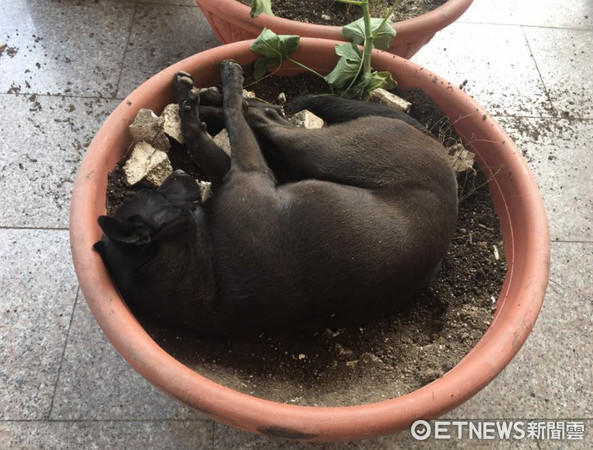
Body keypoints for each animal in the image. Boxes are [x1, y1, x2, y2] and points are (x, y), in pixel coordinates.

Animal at [93, 60, 458, 334]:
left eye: (151, 192)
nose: (180, 173)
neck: (196, 262)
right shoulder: (248, 169)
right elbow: (224, 123)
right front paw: (215, 93)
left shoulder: (231, 169)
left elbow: (200, 136)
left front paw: (192, 101)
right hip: (318, 151)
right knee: (265, 118)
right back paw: (227, 92)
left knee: (267, 118)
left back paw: (212, 99)